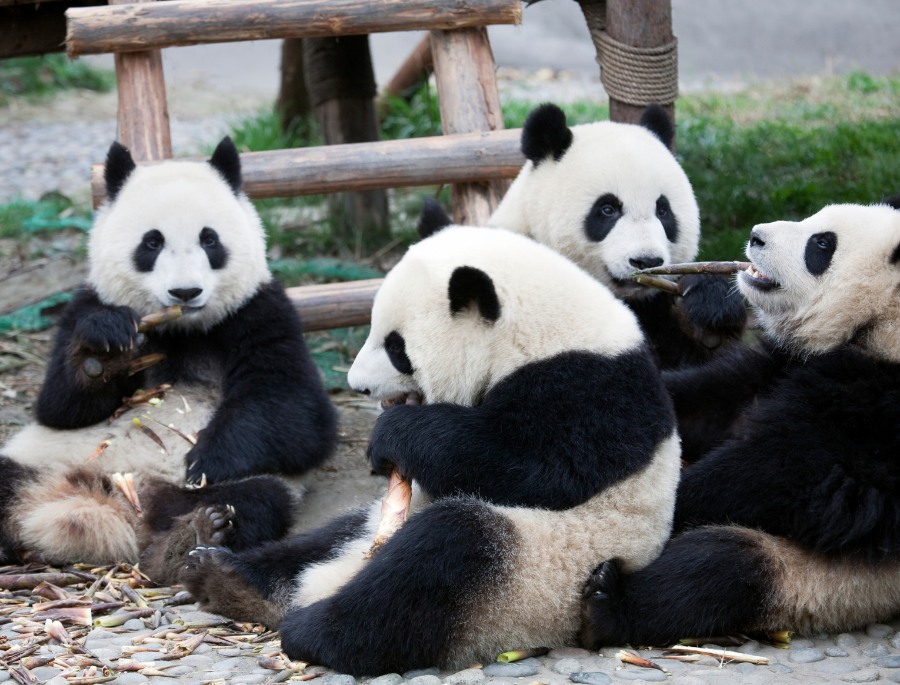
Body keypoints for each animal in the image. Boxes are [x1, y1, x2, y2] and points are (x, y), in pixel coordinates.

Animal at [0, 138, 337, 566]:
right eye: (152, 242)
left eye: (209, 240)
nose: (185, 292)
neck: (181, 328)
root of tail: (107, 501)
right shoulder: (84, 305)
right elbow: (59, 408)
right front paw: (102, 355)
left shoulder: (259, 312)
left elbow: (298, 415)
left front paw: (206, 460)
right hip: (38, 456)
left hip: (229, 487)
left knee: (252, 501)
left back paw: (190, 537)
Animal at [167, 223, 682, 676]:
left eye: (397, 347)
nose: (357, 385)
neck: (540, 329)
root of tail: (332, 580)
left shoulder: (590, 388)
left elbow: (538, 468)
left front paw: (393, 435)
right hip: (380, 526)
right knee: (321, 539)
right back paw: (219, 570)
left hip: (542, 577)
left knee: (440, 556)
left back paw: (310, 629)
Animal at [581, 201, 900, 648]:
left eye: (822, 244)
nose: (756, 236)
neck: (879, 324)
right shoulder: (784, 363)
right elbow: (716, 401)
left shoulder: (877, 408)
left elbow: (784, 473)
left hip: (829, 583)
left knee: (718, 568)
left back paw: (606, 605)